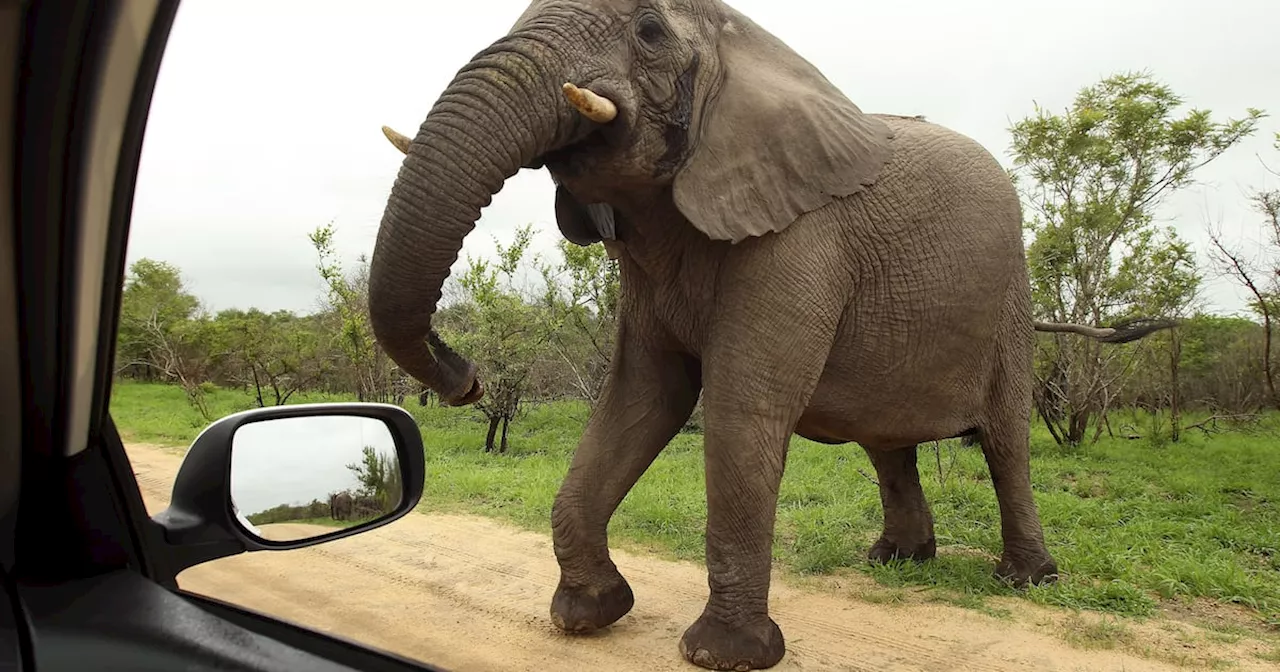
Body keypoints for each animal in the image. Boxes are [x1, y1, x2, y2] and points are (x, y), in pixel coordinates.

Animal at [366, 2, 1172, 665]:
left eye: (649, 30)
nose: (466, 376)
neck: (744, 41)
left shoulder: (801, 238)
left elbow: (740, 406)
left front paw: (724, 657)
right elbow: (642, 398)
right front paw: (589, 614)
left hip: (1007, 300)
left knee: (1005, 442)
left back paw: (1026, 580)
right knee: (889, 445)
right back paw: (896, 562)